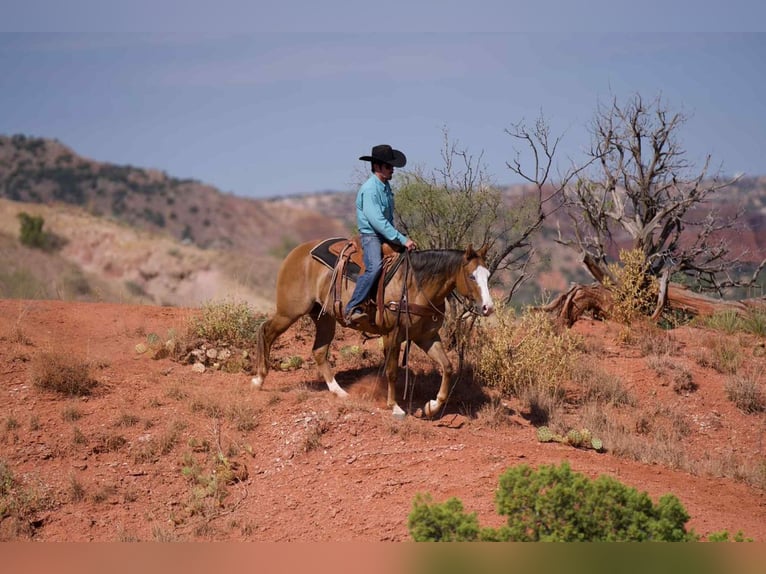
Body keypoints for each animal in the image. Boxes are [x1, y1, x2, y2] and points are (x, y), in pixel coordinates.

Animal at [251, 239, 495, 418]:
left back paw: (339, 392)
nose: (488, 307)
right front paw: (395, 407)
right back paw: (259, 379)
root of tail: (296, 253)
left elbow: (447, 367)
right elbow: (392, 371)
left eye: (488, 275)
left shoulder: (427, 337)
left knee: (319, 351)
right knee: (266, 331)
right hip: (289, 312)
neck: (416, 285)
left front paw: (430, 407)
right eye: (472, 276)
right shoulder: (392, 335)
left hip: (324, 318)